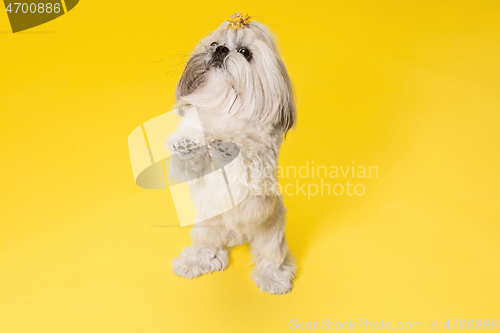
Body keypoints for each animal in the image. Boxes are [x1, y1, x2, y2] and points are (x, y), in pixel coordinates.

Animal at [164, 13, 296, 294]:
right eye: (215, 44)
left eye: (245, 52)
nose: (221, 49)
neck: (224, 108)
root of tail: (237, 234)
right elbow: (190, 159)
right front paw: (185, 143)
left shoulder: (260, 164)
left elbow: (246, 151)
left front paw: (227, 146)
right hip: (205, 229)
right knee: (208, 250)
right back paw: (192, 262)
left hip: (271, 236)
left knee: (273, 259)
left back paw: (274, 279)